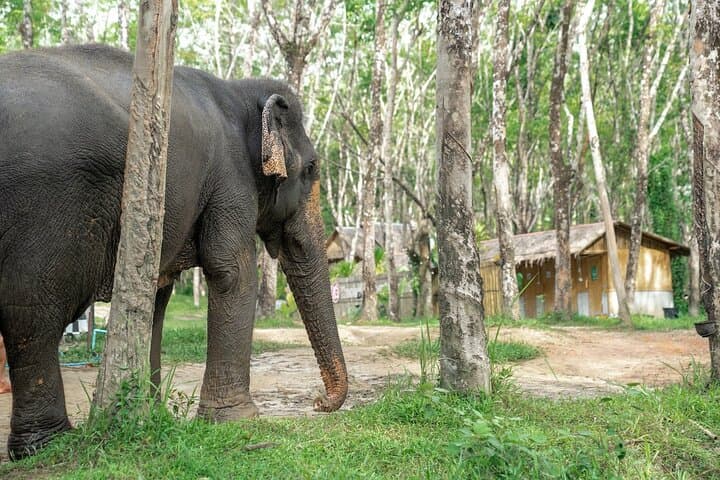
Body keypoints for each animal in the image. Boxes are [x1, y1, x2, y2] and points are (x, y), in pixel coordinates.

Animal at [0, 44, 348, 459]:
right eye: (311, 168)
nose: (319, 402)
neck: (238, 90)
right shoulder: (230, 179)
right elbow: (232, 271)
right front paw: (238, 420)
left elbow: (156, 293)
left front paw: (150, 414)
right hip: (45, 205)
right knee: (32, 314)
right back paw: (49, 444)